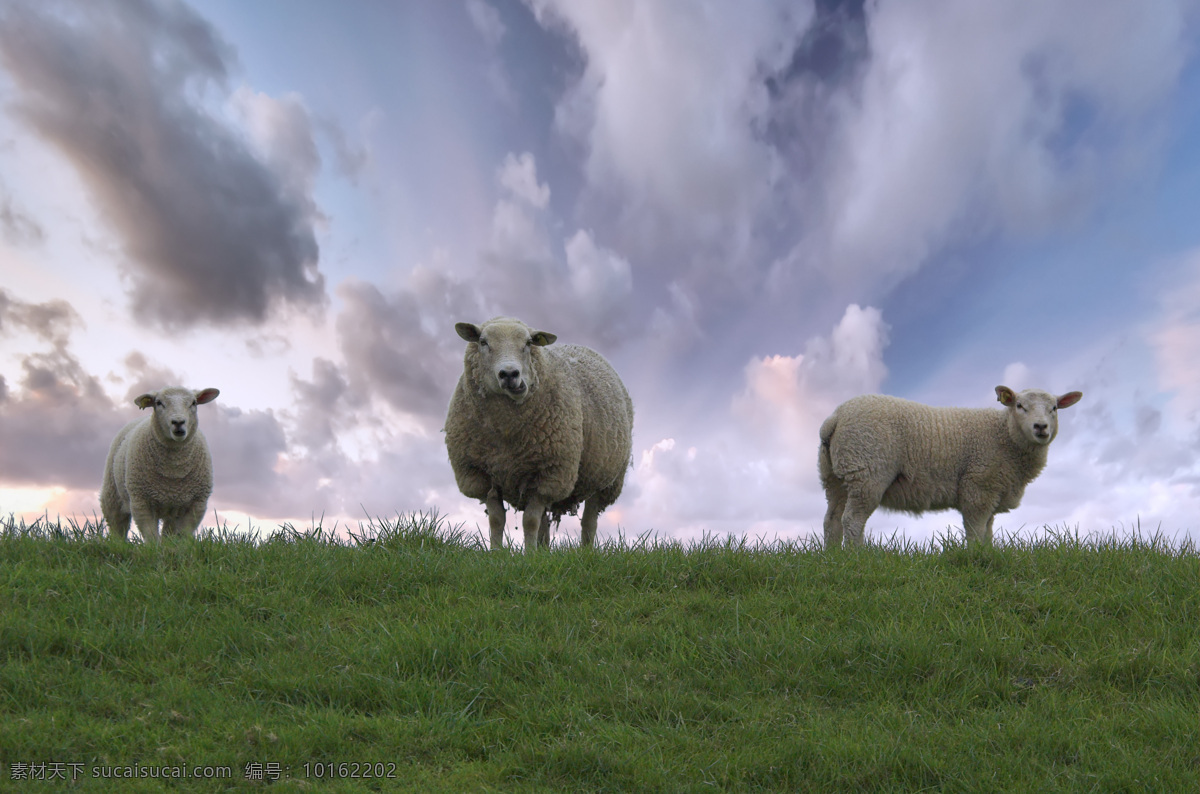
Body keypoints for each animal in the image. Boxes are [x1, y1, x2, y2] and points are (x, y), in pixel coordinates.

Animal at [100, 388, 220, 544]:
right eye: (158, 403)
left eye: (194, 402)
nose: (178, 422)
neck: (173, 471)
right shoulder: (141, 501)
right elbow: (151, 536)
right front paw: (154, 549)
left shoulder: (197, 504)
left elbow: (183, 535)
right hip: (112, 493)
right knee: (117, 524)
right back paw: (117, 543)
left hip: (173, 508)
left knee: (168, 531)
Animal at [448, 316, 638, 554]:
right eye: (483, 342)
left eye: (529, 343)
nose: (509, 374)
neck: (506, 433)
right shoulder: (479, 474)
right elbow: (497, 519)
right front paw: (497, 553)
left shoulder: (550, 474)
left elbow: (530, 521)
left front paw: (529, 555)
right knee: (545, 523)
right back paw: (544, 551)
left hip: (604, 478)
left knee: (589, 522)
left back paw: (585, 552)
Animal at [820, 388, 1084, 551]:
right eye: (1019, 405)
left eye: (1054, 408)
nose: (1041, 427)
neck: (1005, 436)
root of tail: (835, 417)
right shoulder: (978, 488)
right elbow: (976, 530)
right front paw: (976, 556)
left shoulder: (992, 491)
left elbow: (988, 531)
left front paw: (988, 553)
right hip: (867, 470)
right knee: (852, 520)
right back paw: (857, 555)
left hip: (836, 475)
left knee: (831, 520)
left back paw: (833, 556)